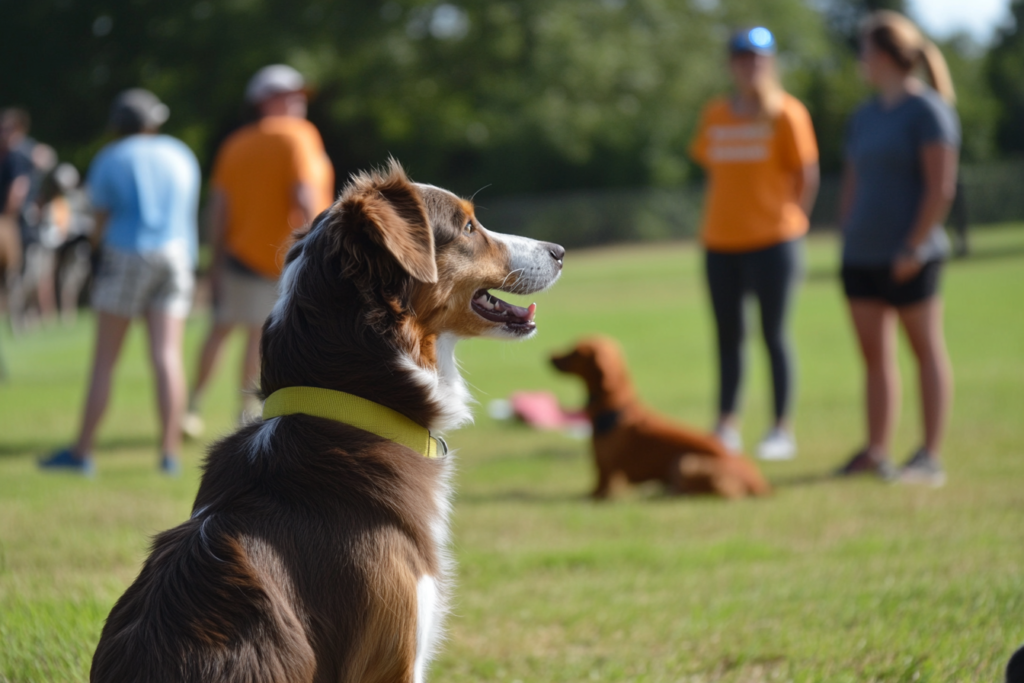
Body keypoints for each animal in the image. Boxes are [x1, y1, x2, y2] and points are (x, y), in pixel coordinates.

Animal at [552, 339, 770, 499]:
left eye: (576, 351)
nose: (550, 355)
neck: (616, 407)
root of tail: (761, 483)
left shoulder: (609, 476)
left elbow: (600, 492)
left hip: (685, 461)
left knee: (725, 492)